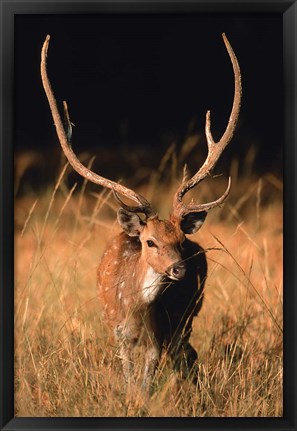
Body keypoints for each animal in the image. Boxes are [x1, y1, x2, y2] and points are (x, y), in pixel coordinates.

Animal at [40, 33, 240, 392]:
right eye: (150, 241)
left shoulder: (157, 340)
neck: (135, 312)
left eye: (180, 241)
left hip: (190, 315)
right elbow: (129, 380)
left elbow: (146, 385)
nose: (178, 269)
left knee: (188, 355)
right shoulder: (119, 334)